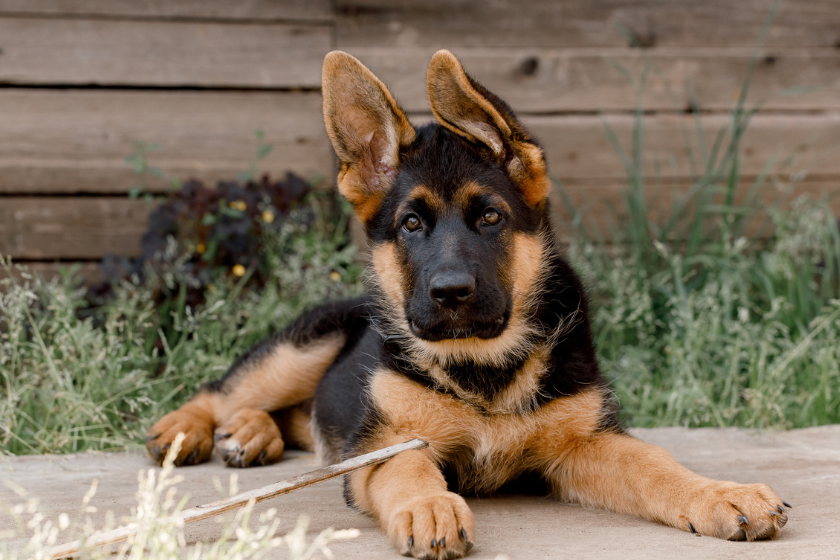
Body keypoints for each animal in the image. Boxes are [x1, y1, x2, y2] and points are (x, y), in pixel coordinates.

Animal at [148, 50, 792, 556]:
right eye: (410, 224)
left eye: (490, 217)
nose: (451, 293)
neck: (482, 364)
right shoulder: (385, 441)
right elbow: (408, 469)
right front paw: (430, 507)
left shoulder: (584, 442)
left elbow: (653, 464)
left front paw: (719, 493)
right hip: (308, 343)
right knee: (226, 391)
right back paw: (189, 431)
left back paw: (254, 434)